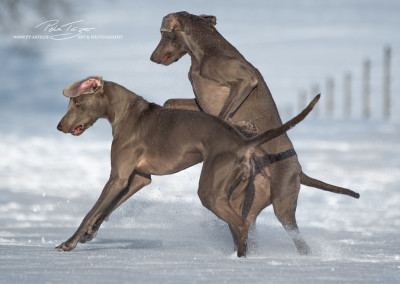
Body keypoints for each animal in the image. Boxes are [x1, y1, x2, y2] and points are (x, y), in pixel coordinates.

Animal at [54, 76, 320, 258]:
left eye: (76, 103)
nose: (59, 126)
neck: (127, 112)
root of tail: (243, 142)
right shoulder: (138, 178)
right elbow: (107, 208)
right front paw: (89, 234)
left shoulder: (118, 177)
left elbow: (93, 210)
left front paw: (69, 243)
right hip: (237, 194)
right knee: (239, 224)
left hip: (211, 191)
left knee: (241, 224)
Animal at [149, 11, 360, 255]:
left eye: (163, 34)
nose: (152, 58)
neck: (205, 49)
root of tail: (299, 170)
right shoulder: (200, 103)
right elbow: (171, 102)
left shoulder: (244, 81)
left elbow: (224, 115)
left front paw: (243, 125)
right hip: (251, 199)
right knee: (246, 223)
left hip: (283, 203)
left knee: (298, 238)